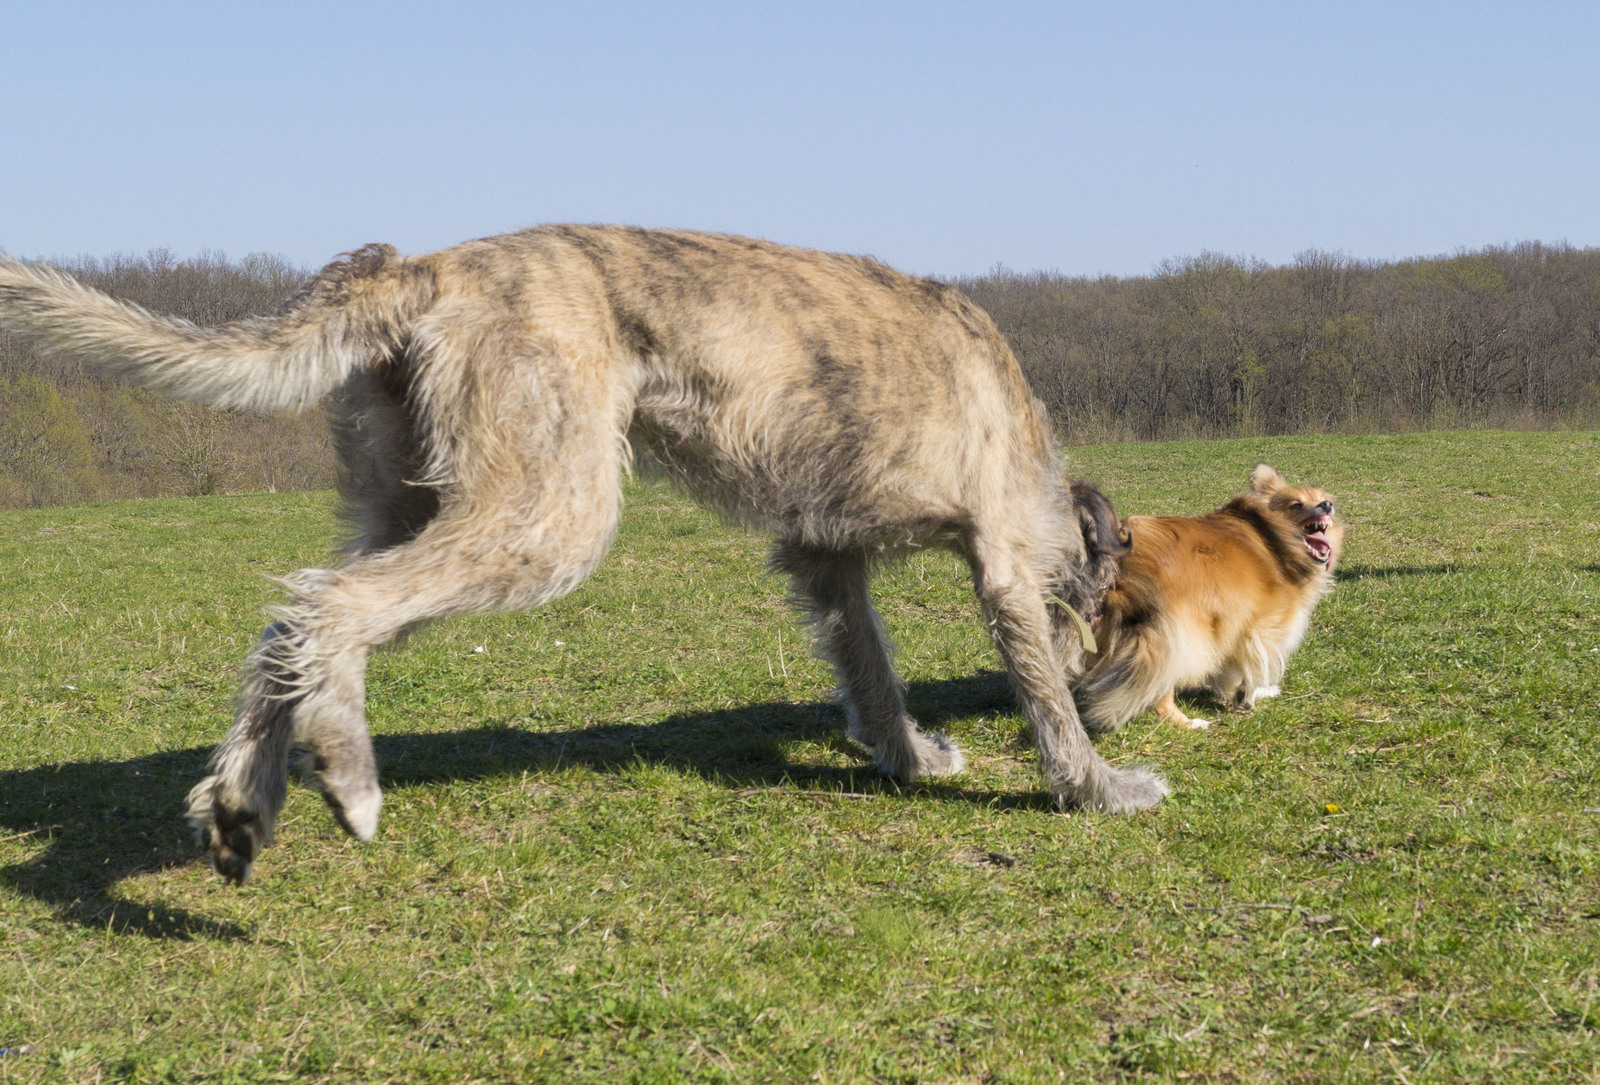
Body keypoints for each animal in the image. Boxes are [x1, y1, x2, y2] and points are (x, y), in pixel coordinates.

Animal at [1075, 464, 1350, 729]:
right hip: (1170, 636)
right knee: (1159, 691)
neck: (1271, 534)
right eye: (1296, 505)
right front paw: (1249, 697)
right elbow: (1253, 667)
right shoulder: (1259, 626)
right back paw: (1188, 723)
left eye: (1321, 499)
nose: (1327, 504)